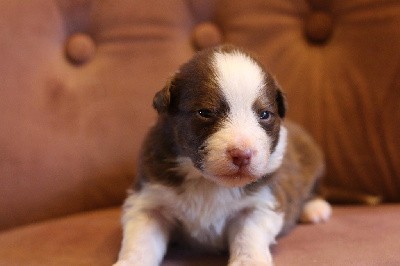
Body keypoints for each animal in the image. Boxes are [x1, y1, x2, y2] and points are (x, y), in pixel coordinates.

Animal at [113, 45, 332, 266]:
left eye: (264, 114)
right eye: (205, 112)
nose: (243, 155)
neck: (206, 182)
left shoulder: (260, 204)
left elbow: (248, 237)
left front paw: (248, 262)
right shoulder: (149, 201)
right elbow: (140, 241)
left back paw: (315, 209)